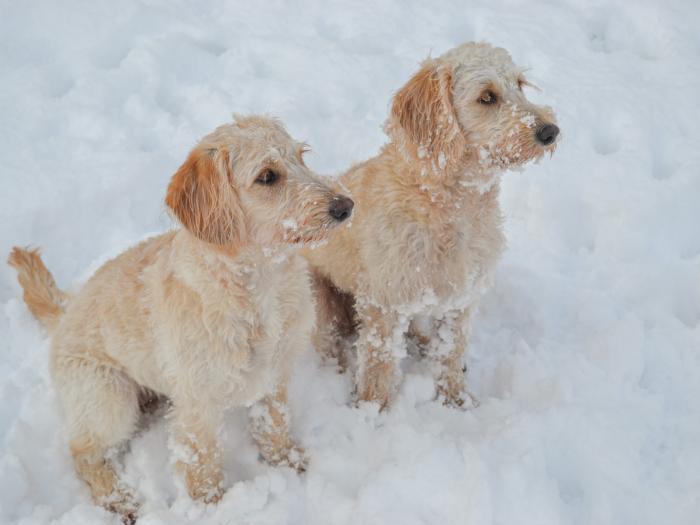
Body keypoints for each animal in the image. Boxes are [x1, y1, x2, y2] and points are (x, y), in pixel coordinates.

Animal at [8, 114, 352, 520]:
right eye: (267, 176)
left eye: (301, 156)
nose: (346, 205)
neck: (258, 283)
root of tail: (63, 315)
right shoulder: (196, 403)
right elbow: (202, 460)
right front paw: (215, 508)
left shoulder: (274, 374)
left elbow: (274, 422)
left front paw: (288, 463)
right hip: (108, 399)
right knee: (84, 453)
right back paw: (119, 499)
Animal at [304, 41, 556, 410]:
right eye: (487, 97)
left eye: (520, 85)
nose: (550, 131)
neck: (451, 202)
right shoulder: (384, 303)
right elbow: (378, 364)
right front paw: (371, 412)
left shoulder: (460, 299)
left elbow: (450, 352)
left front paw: (456, 401)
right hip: (323, 305)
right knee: (330, 347)